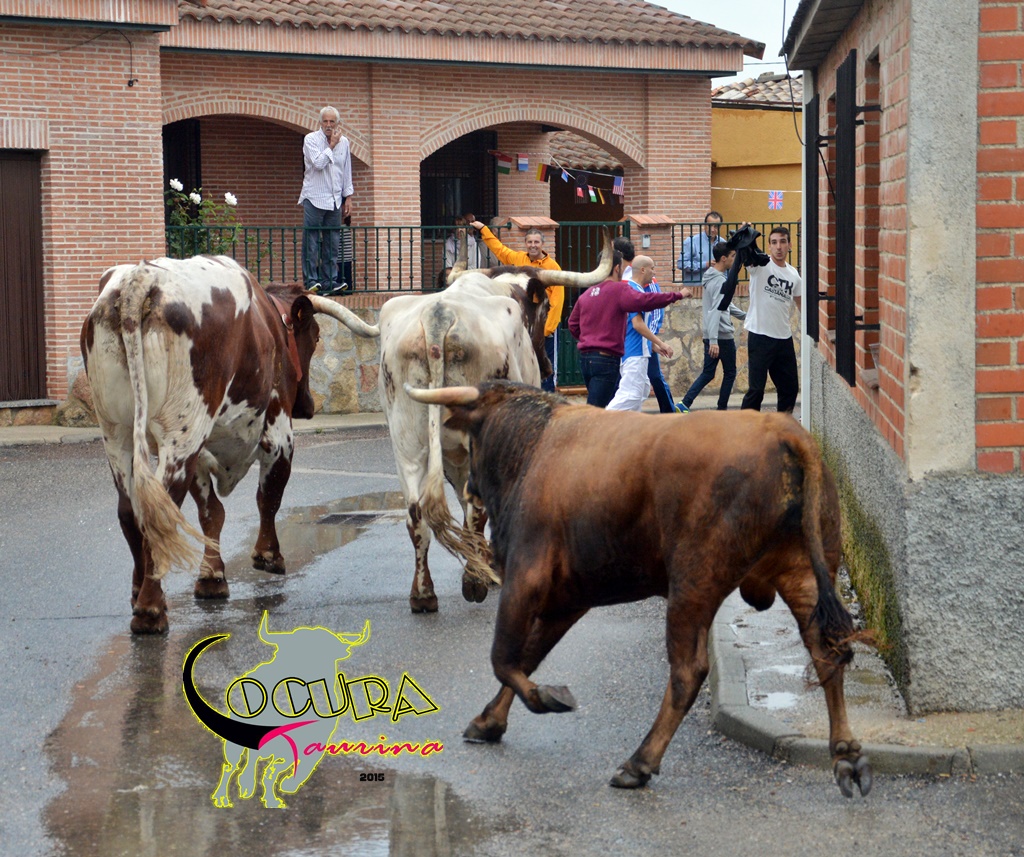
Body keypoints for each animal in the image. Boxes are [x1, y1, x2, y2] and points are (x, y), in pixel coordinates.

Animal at [81, 255, 380, 634]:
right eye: (314, 337)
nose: (308, 406)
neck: (269, 323)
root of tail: (140, 280)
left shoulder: (201, 448)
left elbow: (212, 513)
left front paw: (212, 577)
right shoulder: (279, 433)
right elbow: (269, 496)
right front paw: (268, 555)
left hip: (116, 432)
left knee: (129, 509)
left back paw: (139, 593)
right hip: (181, 435)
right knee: (161, 510)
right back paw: (151, 609)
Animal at [377, 235, 612, 614]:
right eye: (547, 306)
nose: (548, 367)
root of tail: (438, 316)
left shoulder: (452, 454)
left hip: (406, 440)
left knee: (417, 512)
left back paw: (424, 594)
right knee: (476, 507)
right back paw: (475, 581)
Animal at [405, 380, 873, 798]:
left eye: (474, 438)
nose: (469, 488)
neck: (534, 444)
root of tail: (783, 430)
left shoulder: (525, 576)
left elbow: (504, 657)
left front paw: (547, 697)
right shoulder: (567, 598)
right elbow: (528, 654)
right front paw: (490, 721)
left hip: (693, 584)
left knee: (688, 672)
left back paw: (640, 762)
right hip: (803, 573)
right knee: (826, 651)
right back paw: (847, 754)